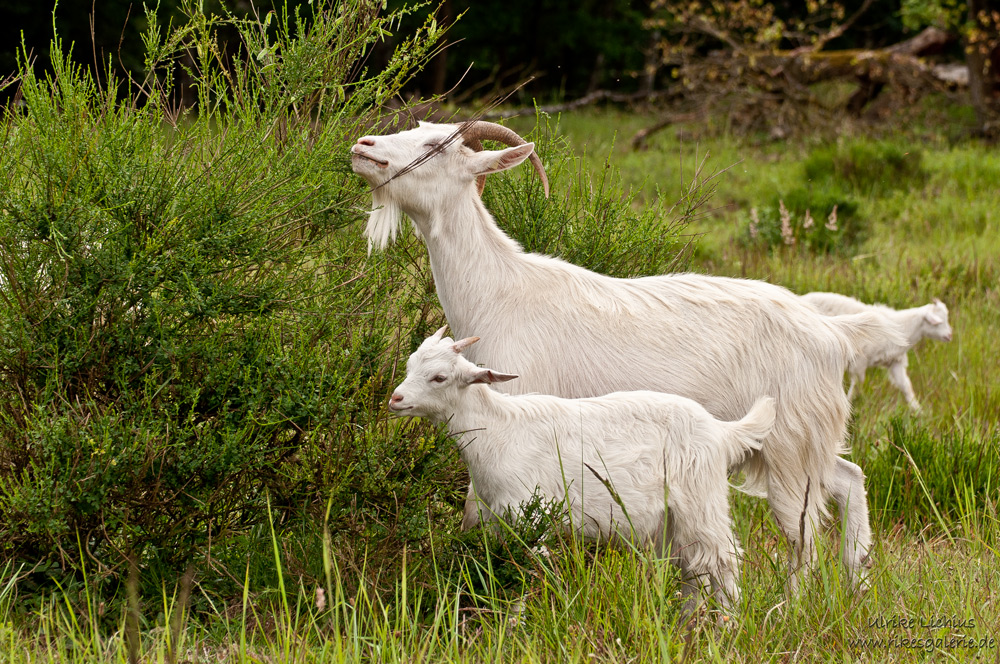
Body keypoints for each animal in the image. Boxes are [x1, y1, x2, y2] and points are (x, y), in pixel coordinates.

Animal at [350, 122, 908, 588]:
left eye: (437, 145)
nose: (363, 146)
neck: (501, 290)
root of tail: (833, 333)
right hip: (801, 440)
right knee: (850, 479)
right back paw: (856, 581)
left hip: (791, 440)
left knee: (802, 533)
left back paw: (791, 605)